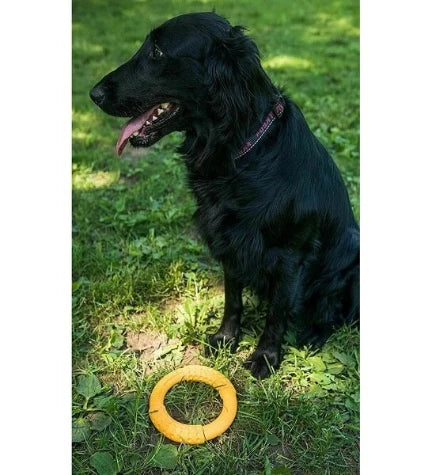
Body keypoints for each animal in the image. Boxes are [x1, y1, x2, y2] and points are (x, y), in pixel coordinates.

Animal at [90, 12, 358, 380]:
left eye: (157, 51)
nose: (93, 93)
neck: (241, 154)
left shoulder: (291, 254)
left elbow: (277, 312)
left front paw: (265, 356)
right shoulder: (228, 242)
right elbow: (233, 298)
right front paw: (226, 337)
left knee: (335, 312)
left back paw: (313, 334)